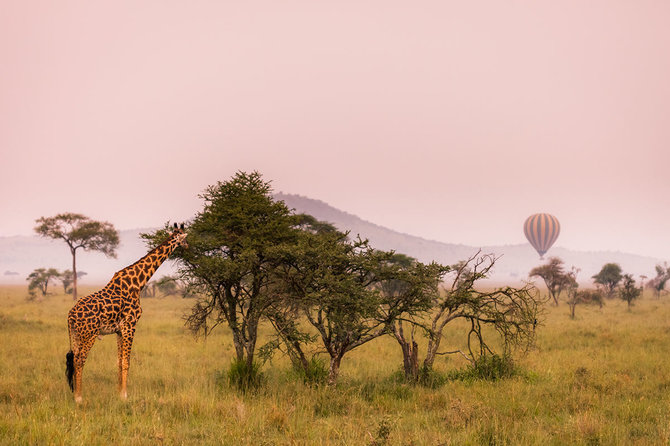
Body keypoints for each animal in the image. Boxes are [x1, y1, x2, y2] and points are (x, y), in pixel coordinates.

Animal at [65, 225, 188, 402]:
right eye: (185, 238)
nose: (187, 246)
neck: (138, 283)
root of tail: (70, 315)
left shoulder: (119, 330)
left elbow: (119, 361)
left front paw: (118, 393)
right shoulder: (130, 325)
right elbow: (126, 362)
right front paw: (124, 395)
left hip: (76, 334)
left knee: (74, 359)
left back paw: (76, 393)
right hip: (89, 334)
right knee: (79, 360)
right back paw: (79, 398)